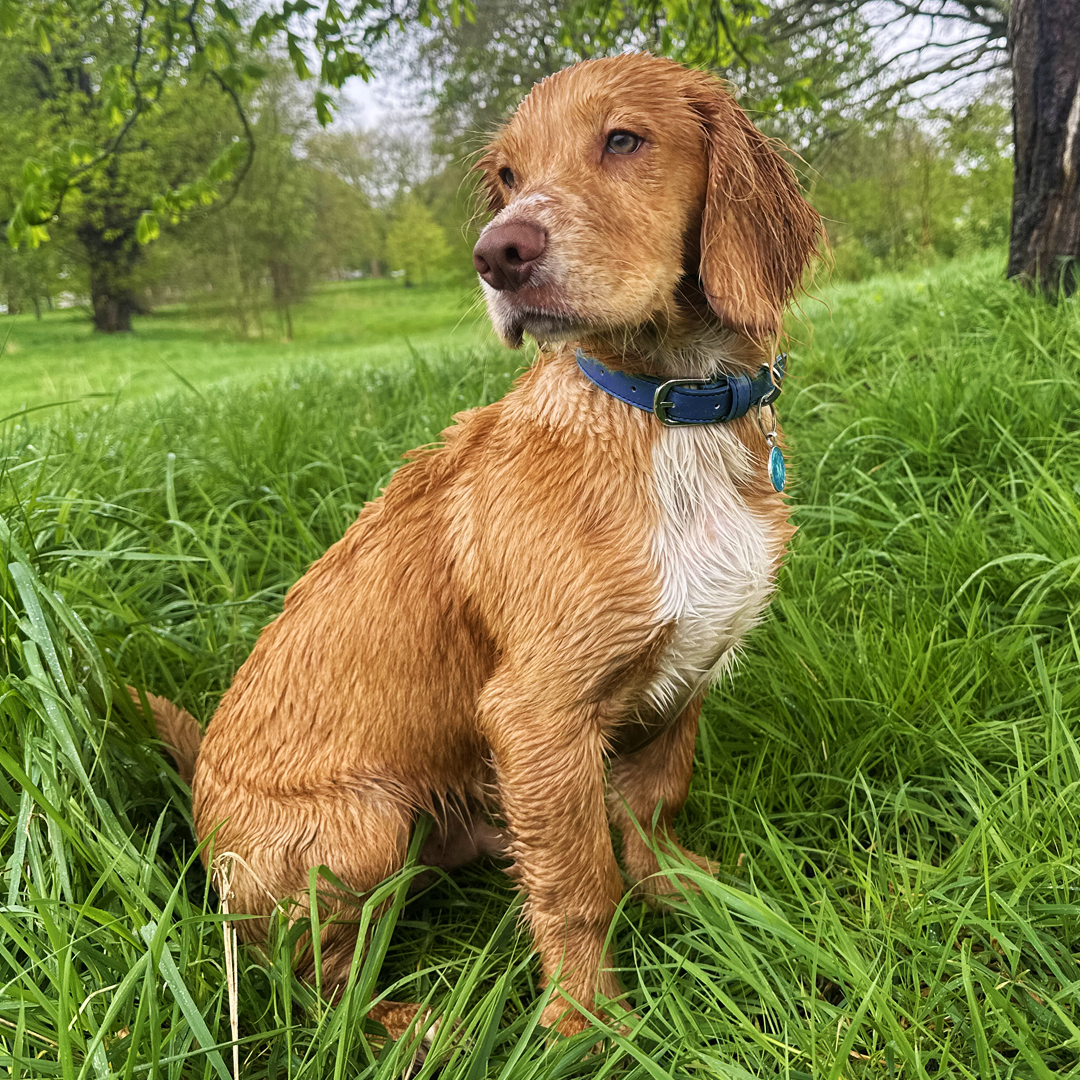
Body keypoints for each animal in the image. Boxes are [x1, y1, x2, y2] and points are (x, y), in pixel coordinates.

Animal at [139, 48, 820, 1045]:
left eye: (624, 140)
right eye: (506, 175)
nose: (498, 254)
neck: (668, 410)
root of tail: (198, 813)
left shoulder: (686, 672)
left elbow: (650, 815)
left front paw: (691, 900)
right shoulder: (536, 711)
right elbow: (580, 883)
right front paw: (589, 1027)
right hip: (365, 829)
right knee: (304, 983)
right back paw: (413, 1027)